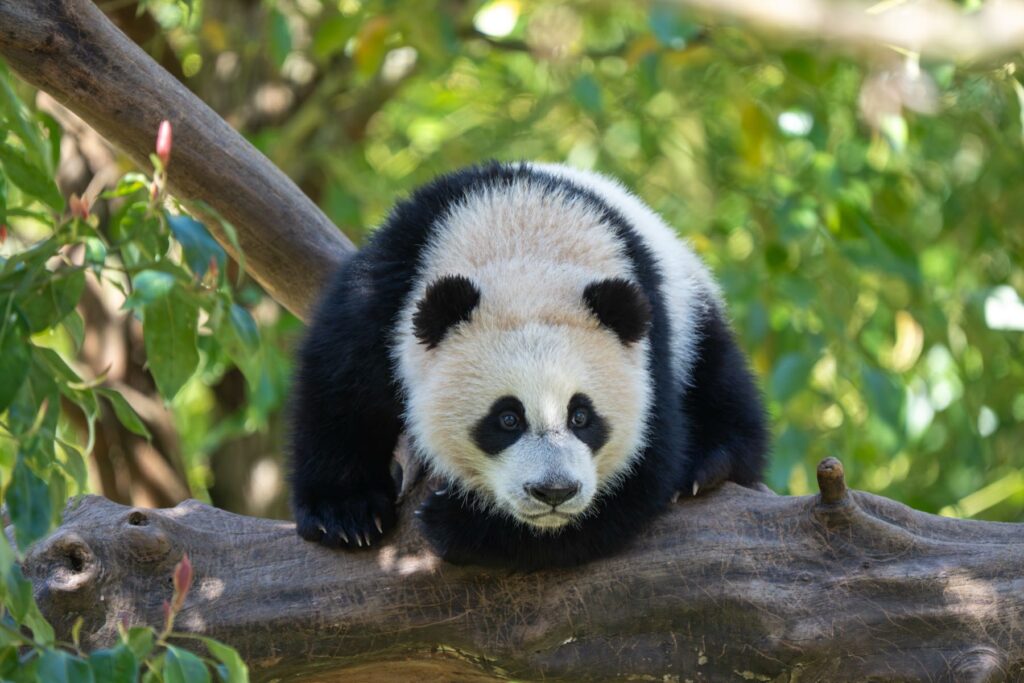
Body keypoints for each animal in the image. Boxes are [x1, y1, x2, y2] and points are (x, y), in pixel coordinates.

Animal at [289, 161, 768, 570]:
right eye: (507, 418)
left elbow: (645, 469)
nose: (554, 491)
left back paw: (709, 462)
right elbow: (343, 388)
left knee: (720, 375)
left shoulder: (651, 347)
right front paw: (345, 514)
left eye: (581, 416)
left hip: (688, 296)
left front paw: (458, 524)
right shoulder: (392, 283)